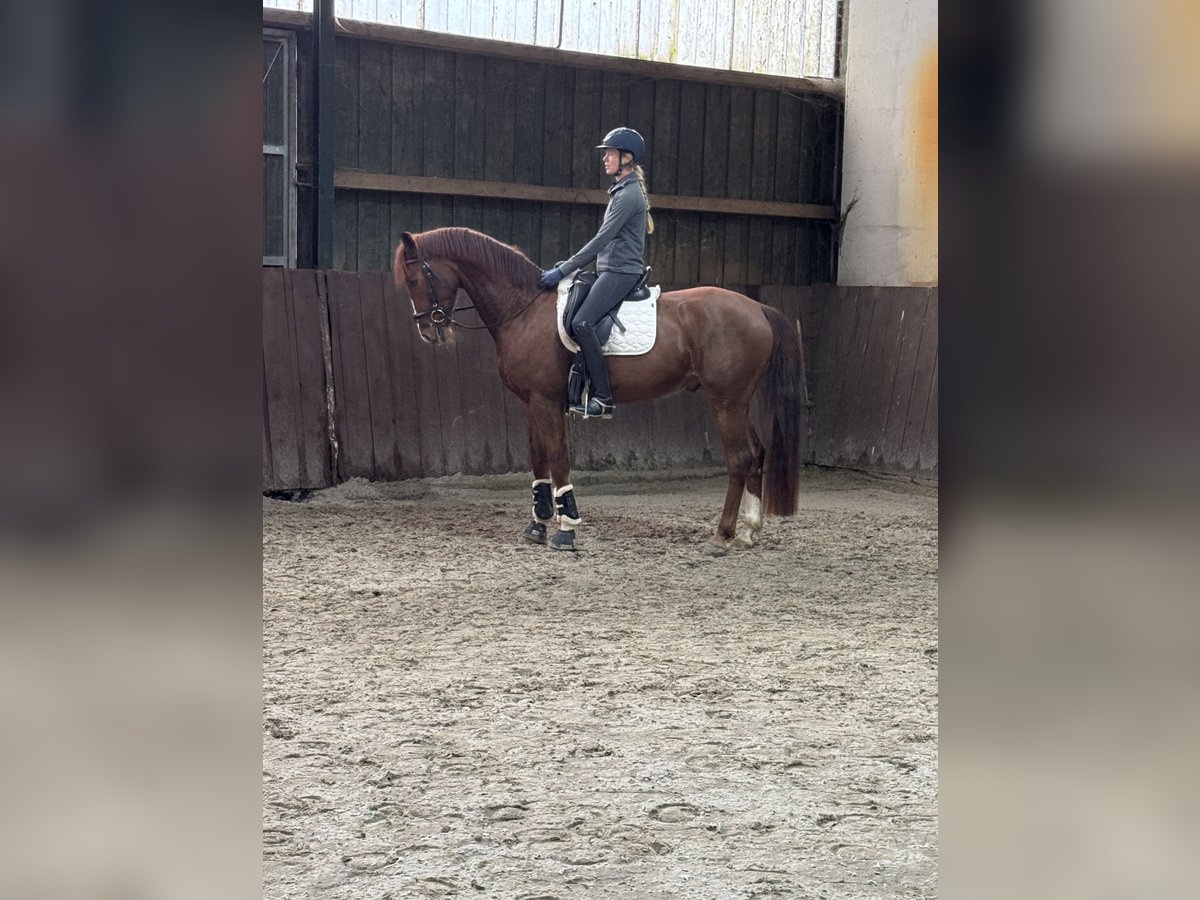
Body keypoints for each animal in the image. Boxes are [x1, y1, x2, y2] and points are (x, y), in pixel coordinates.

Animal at [394, 227, 802, 553]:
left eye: (413, 280)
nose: (429, 332)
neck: (523, 309)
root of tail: (757, 308)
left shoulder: (545, 402)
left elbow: (558, 459)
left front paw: (566, 530)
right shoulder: (528, 404)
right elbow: (538, 458)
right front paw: (537, 525)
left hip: (725, 402)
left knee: (740, 459)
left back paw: (721, 536)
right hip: (737, 402)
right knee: (757, 453)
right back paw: (748, 532)